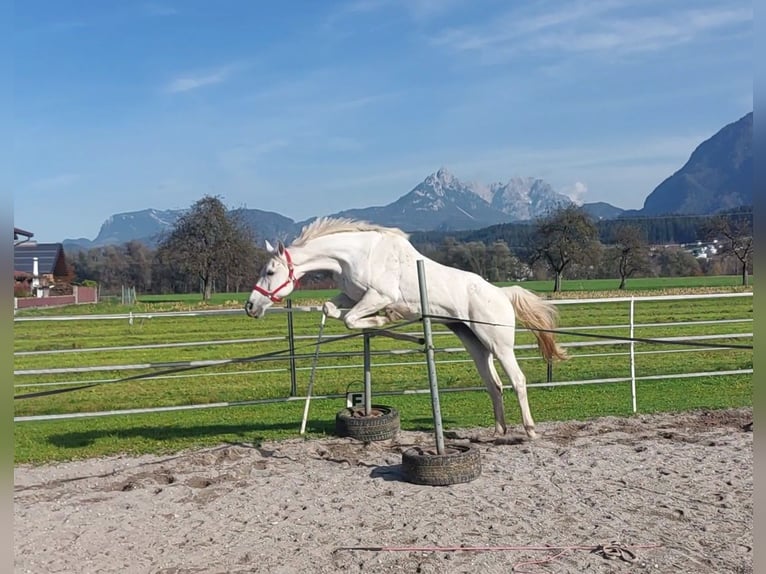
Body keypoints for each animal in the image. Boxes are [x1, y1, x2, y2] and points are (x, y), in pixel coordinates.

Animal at [246, 218, 568, 438]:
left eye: (270, 272)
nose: (251, 306)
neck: (356, 255)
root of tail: (502, 293)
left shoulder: (378, 295)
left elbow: (352, 318)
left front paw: (386, 318)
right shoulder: (352, 297)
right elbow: (332, 310)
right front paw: (386, 323)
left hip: (499, 344)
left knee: (518, 380)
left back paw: (529, 430)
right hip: (475, 343)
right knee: (494, 384)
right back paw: (499, 429)